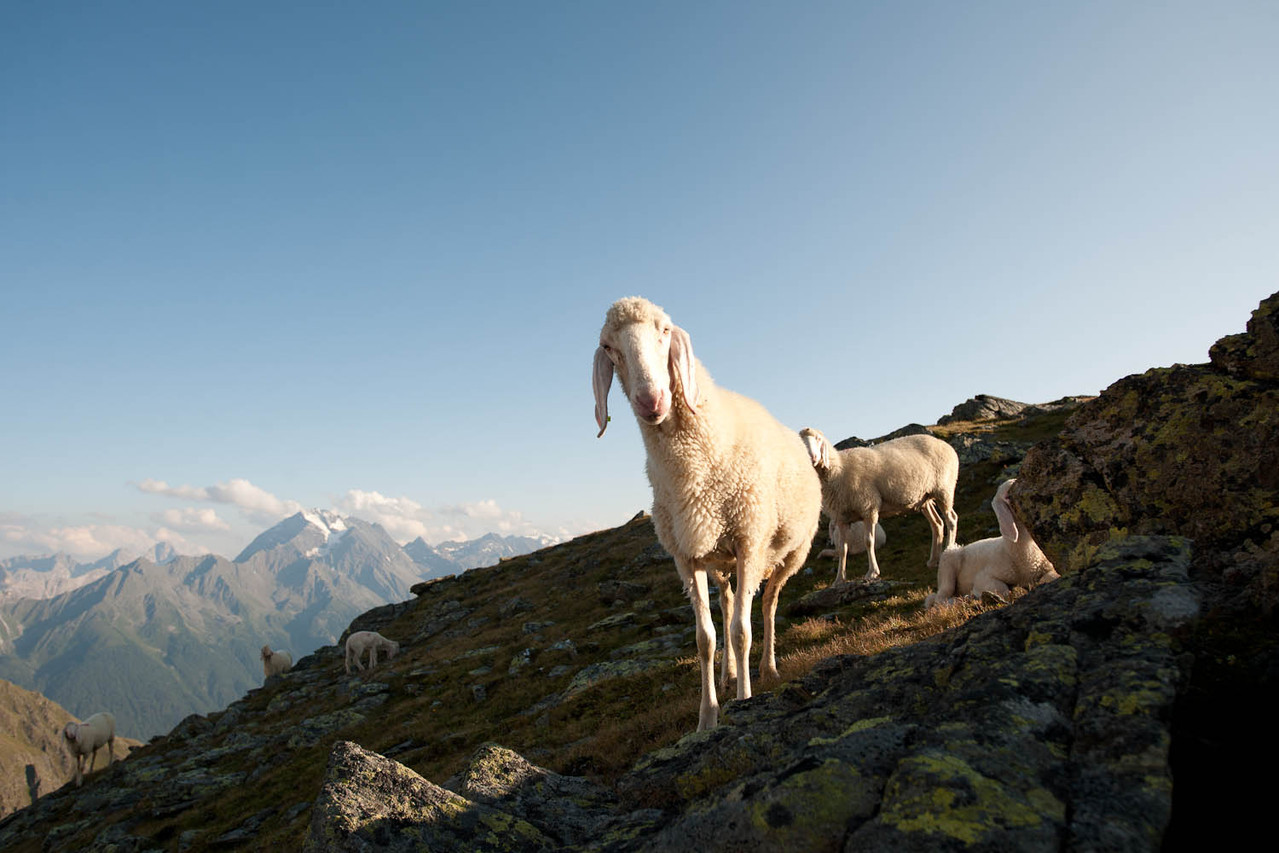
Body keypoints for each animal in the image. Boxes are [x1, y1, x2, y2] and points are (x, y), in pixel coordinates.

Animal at [596, 296, 823, 731]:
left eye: (664, 330)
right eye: (609, 348)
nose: (650, 401)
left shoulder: (750, 542)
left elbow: (741, 632)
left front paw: (745, 699)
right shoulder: (686, 558)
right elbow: (706, 638)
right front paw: (707, 716)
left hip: (789, 553)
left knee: (767, 606)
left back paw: (766, 668)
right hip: (719, 559)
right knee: (730, 601)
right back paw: (728, 673)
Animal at [798, 427, 961, 588]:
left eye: (818, 439)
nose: (812, 457)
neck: (839, 470)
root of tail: (945, 444)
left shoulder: (868, 507)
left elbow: (869, 541)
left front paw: (872, 572)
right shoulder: (841, 517)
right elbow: (842, 549)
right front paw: (839, 579)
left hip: (944, 489)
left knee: (951, 519)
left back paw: (948, 550)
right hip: (924, 498)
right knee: (937, 524)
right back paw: (933, 560)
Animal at [925, 480, 1064, 606]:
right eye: (1007, 496)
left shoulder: (1048, 567)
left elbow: (1049, 577)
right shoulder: (983, 577)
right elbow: (1002, 589)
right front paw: (977, 594)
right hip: (948, 565)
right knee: (939, 600)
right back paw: (961, 600)